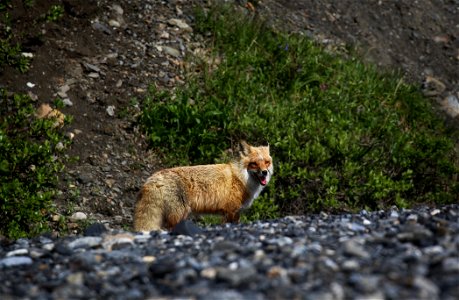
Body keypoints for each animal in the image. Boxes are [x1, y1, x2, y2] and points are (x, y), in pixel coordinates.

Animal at [135, 142, 274, 231]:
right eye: (254, 164)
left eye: (267, 162)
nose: (264, 172)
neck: (240, 178)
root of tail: (153, 178)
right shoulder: (231, 211)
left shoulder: (234, 212)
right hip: (179, 216)